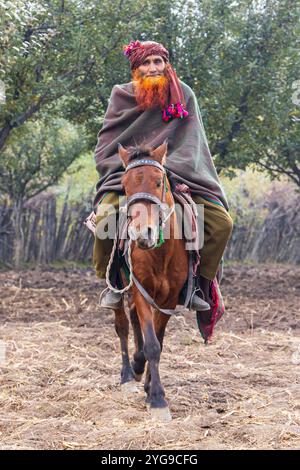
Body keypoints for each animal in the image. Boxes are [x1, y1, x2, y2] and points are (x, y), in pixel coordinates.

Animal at [109, 140, 189, 422]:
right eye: (124, 186)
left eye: (158, 182)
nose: (143, 233)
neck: (160, 253)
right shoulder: (141, 291)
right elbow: (152, 344)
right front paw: (157, 400)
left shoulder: (169, 299)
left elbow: (158, 341)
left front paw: (149, 386)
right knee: (122, 325)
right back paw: (127, 375)